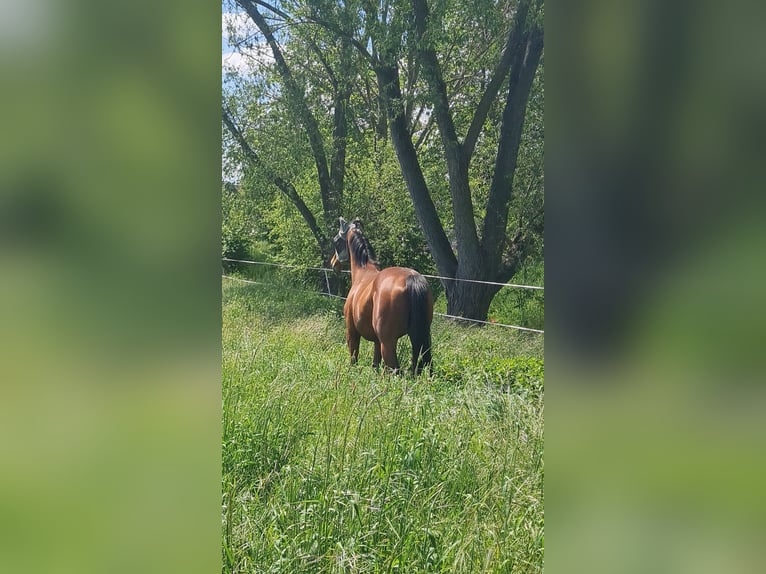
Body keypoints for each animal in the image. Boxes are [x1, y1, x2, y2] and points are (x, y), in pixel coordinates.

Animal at [332, 218, 436, 376]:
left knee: (394, 369)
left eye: (336, 241)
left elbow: (354, 357)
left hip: (387, 343)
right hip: (422, 337)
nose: (333, 263)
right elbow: (375, 363)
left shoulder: (351, 332)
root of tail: (412, 278)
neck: (363, 273)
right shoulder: (376, 341)